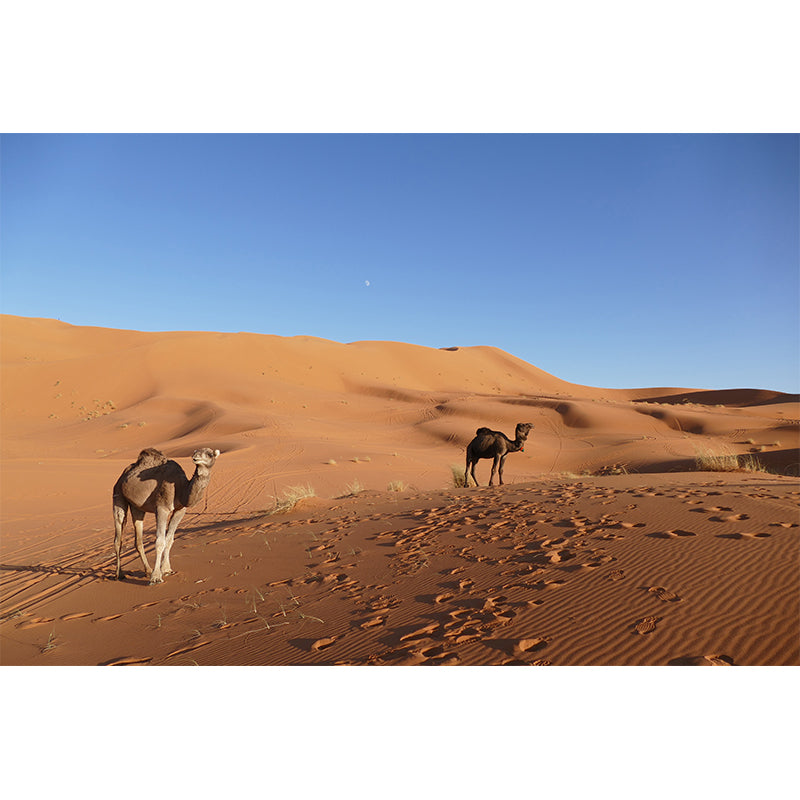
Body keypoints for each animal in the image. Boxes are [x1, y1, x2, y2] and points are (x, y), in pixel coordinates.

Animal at [113, 447, 220, 584]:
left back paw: (148, 570)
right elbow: (160, 541)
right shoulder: (162, 508)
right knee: (118, 536)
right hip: (117, 494)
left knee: (138, 540)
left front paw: (166, 569)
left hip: (137, 507)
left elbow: (169, 539)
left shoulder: (180, 510)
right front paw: (156, 577)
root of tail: (123, 475)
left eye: (210, 454)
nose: (195, 457)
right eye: (196, 452)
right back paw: (119, 574)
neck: (180, 488)